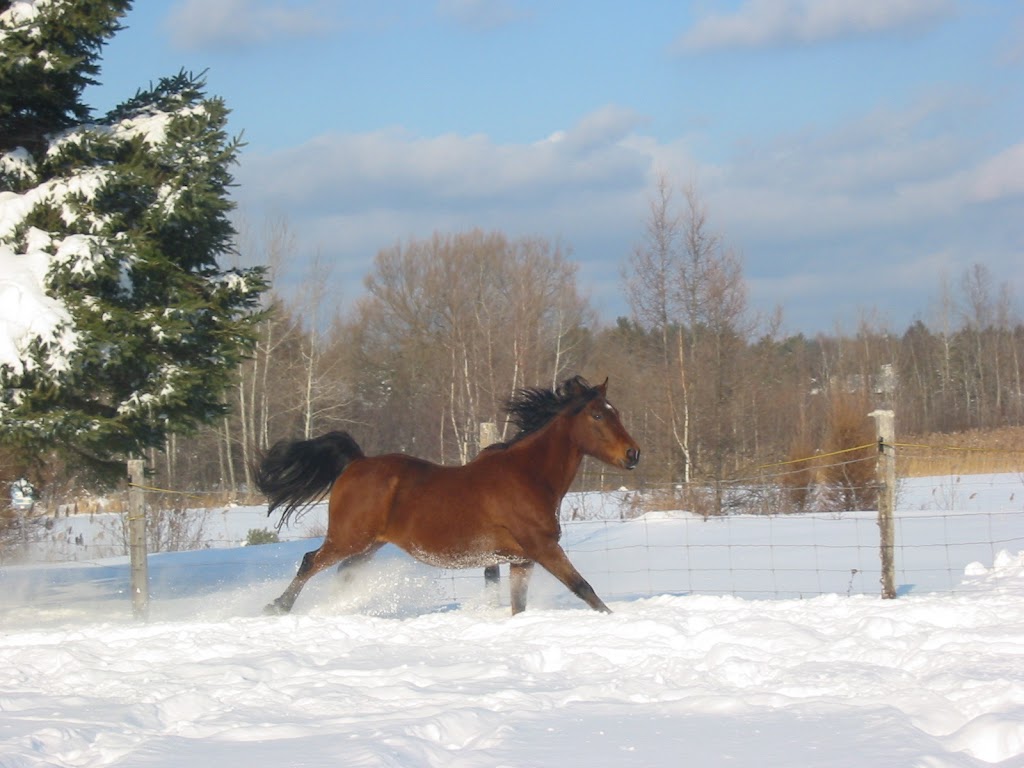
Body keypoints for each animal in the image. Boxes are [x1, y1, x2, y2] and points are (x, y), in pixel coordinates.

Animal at [253, 376, 638, 618]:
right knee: (309, 561)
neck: (529, 475)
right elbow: (584, 588)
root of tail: (356, 462)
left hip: (369, 544)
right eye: (598, 414)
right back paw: (276, 607)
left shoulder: (521, 560)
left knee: (344, 572)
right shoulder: (542, 548)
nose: (633, 454)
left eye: (618, 412)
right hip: (347, 538)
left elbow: (519, 606)